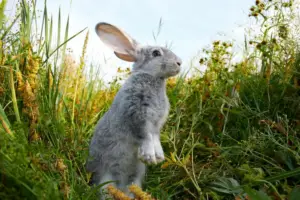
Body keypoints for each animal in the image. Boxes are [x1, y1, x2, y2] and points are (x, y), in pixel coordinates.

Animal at [85, 22, 182, 198]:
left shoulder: (156, 126)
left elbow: (155, 138)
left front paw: (158, 157)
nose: (179, 63)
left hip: (134, 180)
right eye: (156, 53)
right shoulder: (137, 115)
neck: (152, 77)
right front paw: (149, 156)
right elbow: (145, 135)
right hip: (106, 180)